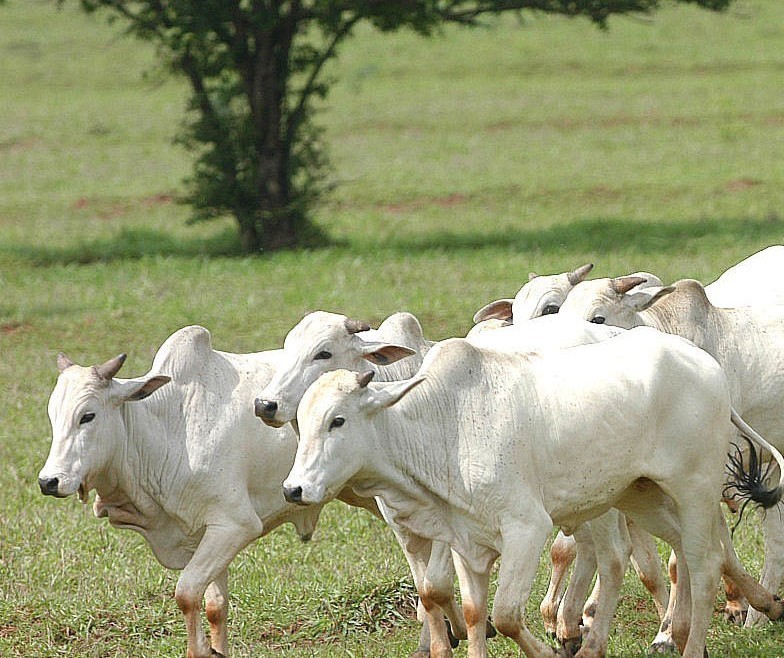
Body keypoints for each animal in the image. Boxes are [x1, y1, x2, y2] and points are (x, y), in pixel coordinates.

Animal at [39, 326, 380, 656]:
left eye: (87, 416)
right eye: (53, 416)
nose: (48, 481)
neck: (170, 429)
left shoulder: (235, 525)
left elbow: (187, 593)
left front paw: (201, 648)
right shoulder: (205, 534)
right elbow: (216, 605)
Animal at [286, 328, 784, 656]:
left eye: (337, 420)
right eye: (304, 425)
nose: (294, 489)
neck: (446, 426)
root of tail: (703, 362)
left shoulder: (526, 529)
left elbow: (506, 614)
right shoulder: (465, 541)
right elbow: (473, 613)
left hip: (693, 489)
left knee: (700, 564)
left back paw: (693, 641)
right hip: (639, 495)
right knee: (676, 554)